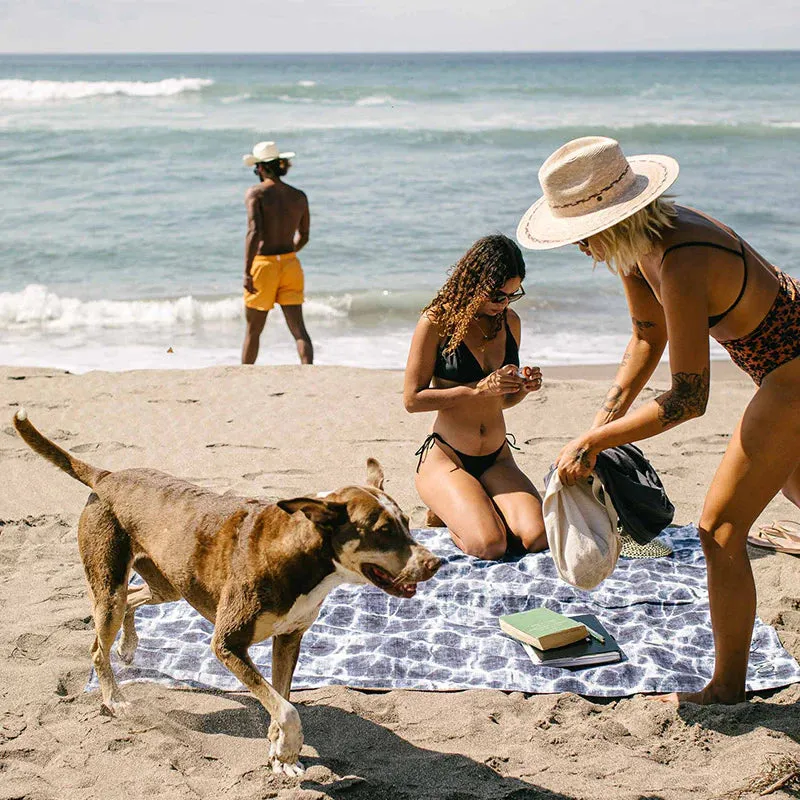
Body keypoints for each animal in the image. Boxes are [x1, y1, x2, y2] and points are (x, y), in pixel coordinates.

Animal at [12, 412, 438, 776]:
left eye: (407, 522)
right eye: (383, 531)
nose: (435, 563)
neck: (300, 553)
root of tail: (107, 476)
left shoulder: (289, 639)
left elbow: (281, 698)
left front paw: (279, 752)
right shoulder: (228, 642)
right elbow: (287, 709)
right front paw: (287, 746)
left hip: (169, 584)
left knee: (134, 598)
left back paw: (128, 644)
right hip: (110, 584)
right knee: (99, 645)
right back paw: (114, 698)